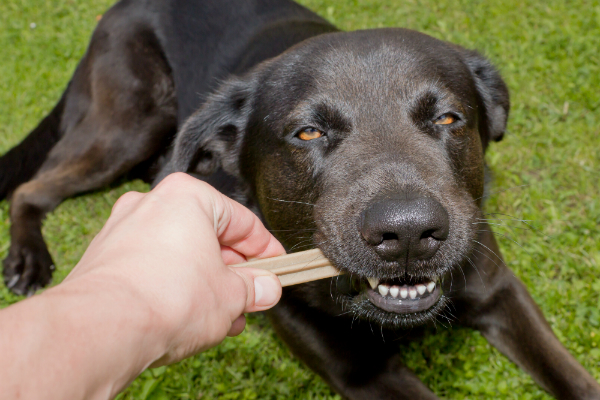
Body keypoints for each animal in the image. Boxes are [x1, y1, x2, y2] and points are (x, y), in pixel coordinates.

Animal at [1, 0, 600, 398]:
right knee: (32, 186)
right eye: (307, 133)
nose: (407, 233)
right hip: (129, 122)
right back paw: (28, 258)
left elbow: (574, 377)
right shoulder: (360, 372)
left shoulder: (500, 290)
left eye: (449, 119)